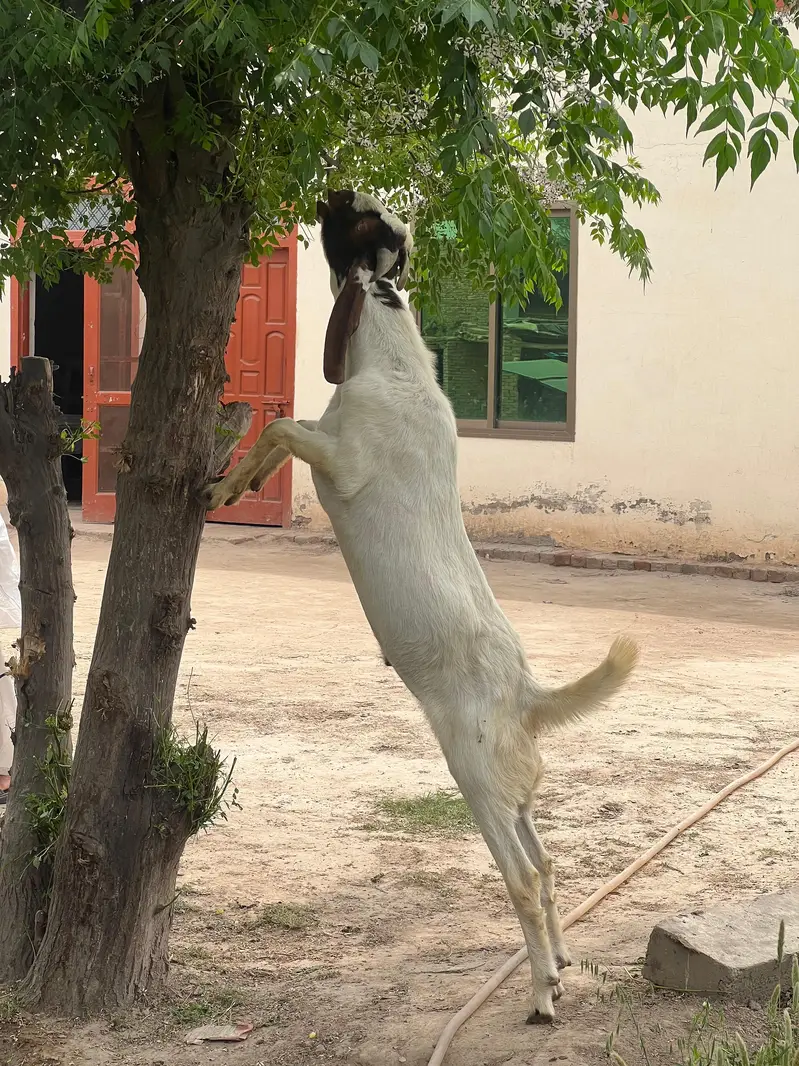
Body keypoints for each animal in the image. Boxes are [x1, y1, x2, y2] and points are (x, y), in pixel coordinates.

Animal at [205, 189, 638, 1023]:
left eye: (355, 218)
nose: (325, 191)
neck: (394, 364)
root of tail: (526, 695)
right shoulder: (325, 437)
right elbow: (277, 432)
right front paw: (235, 483)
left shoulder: (341, 460)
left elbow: (281, 423)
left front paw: (224, 485)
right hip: (515, 790)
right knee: (547, 860)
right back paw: (561, 959)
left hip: (473, 776)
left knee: (522, 877)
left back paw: (542, 993)